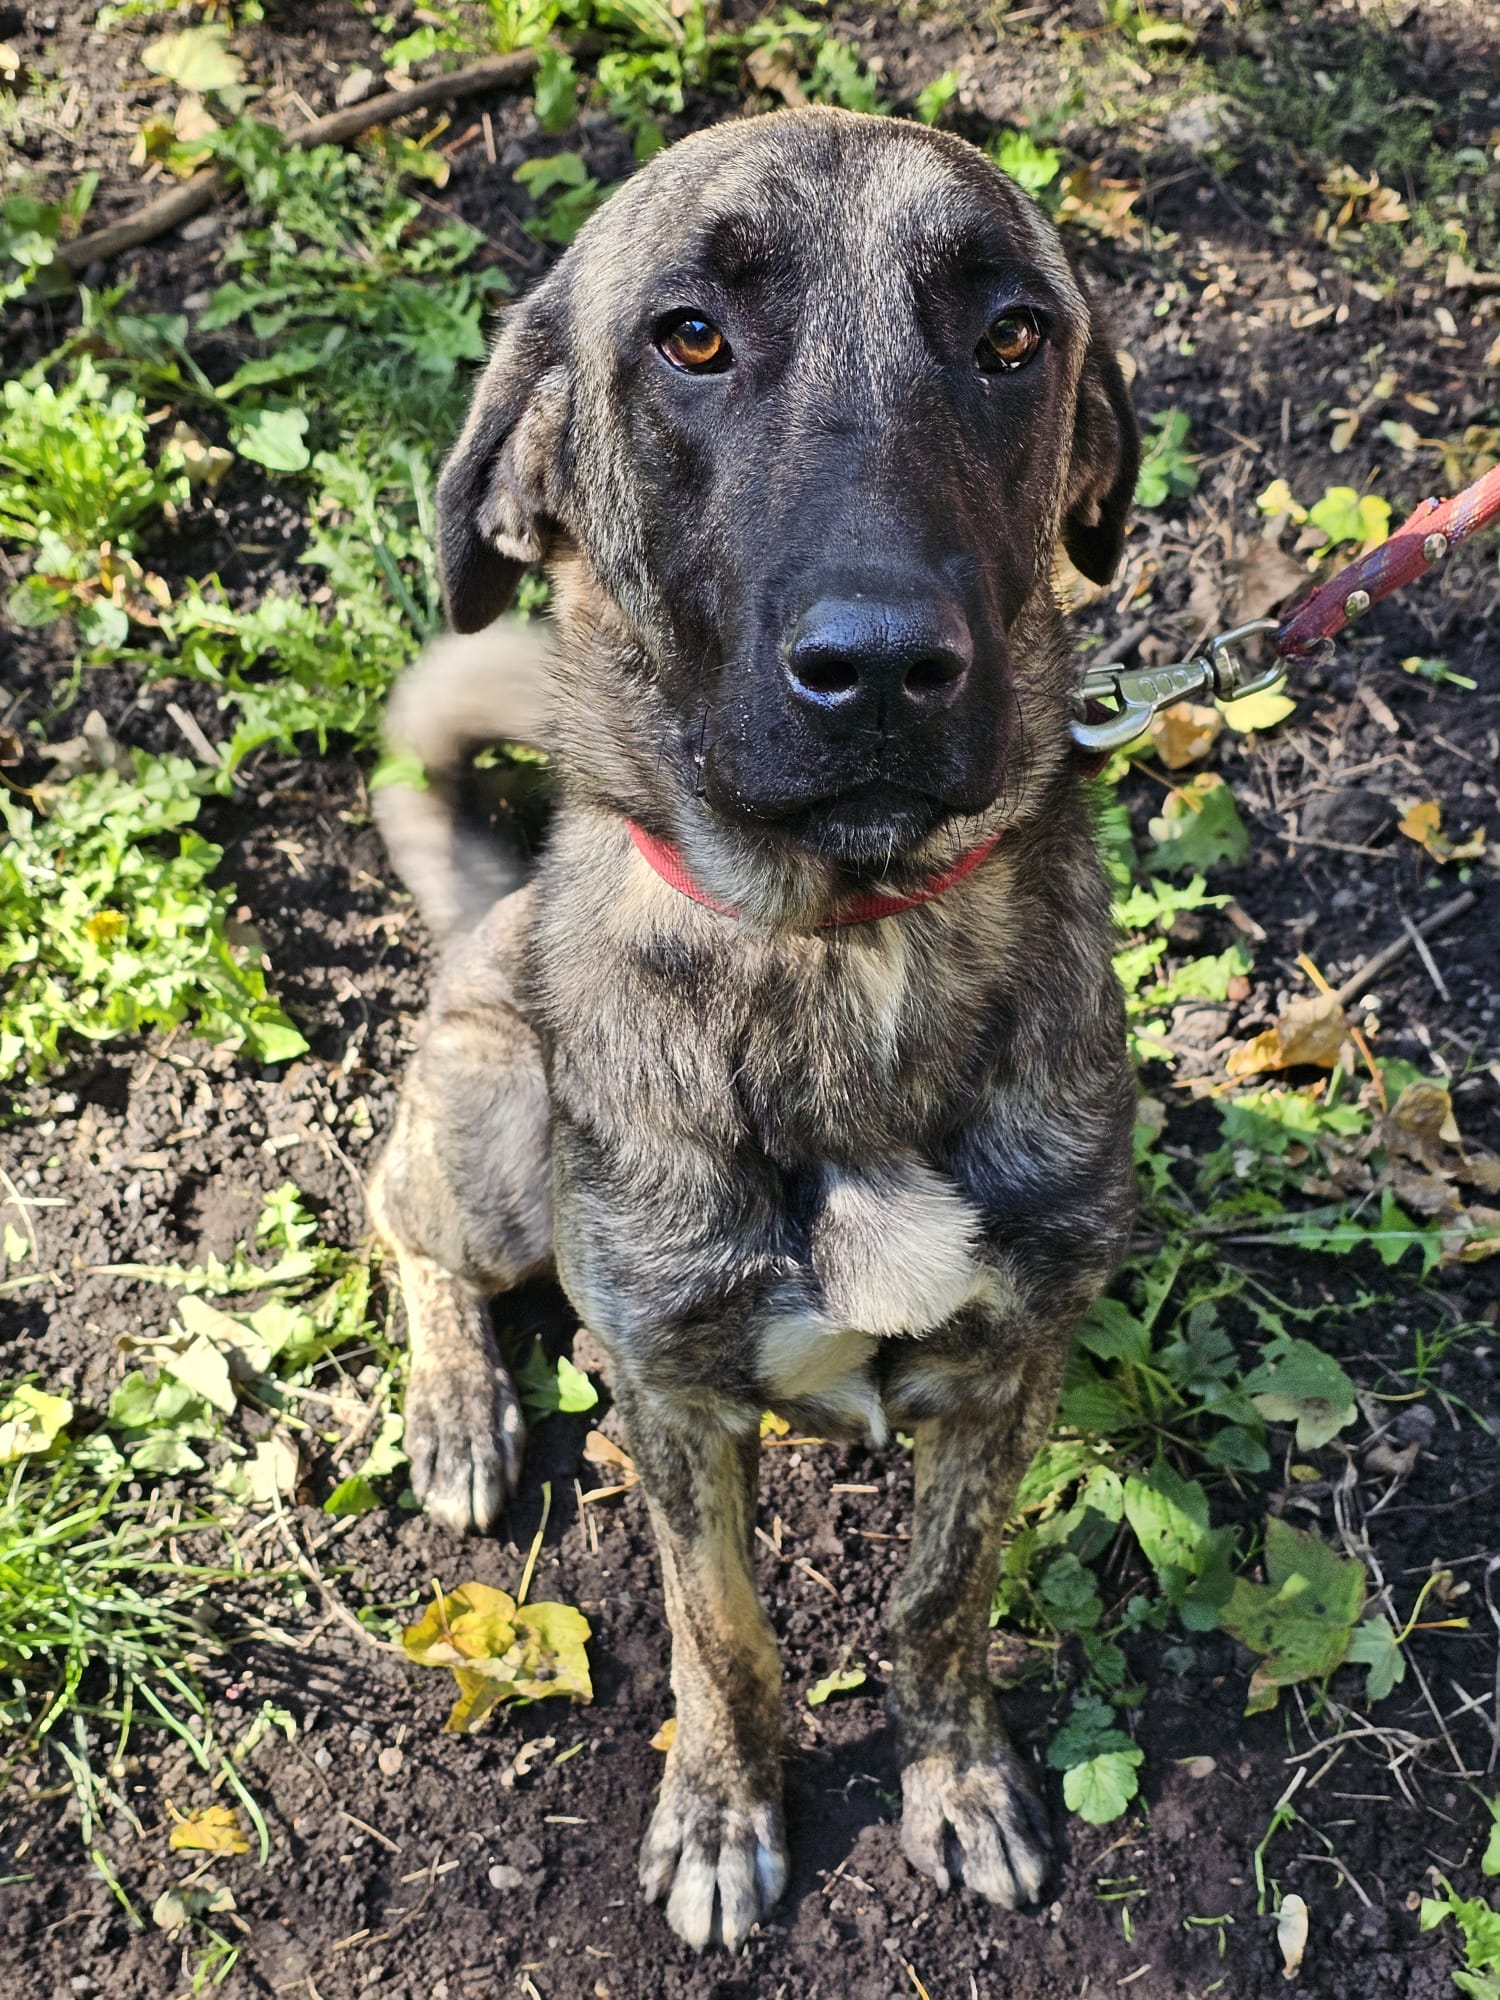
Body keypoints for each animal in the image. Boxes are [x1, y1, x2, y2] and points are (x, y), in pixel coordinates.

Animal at [368, 105, 1140, 1953]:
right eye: (691, 339)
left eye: (1014, 336)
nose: (883, 669)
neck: (845, 954)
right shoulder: (676, 1399)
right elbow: (725, 1638)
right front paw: (722, 1819)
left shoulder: (1012, 1369)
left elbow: (938, 1600)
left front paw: (957, 1780)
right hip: (492, 1139)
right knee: (400, 1222)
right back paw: (457, 1407)